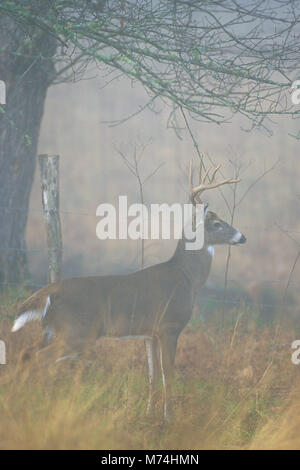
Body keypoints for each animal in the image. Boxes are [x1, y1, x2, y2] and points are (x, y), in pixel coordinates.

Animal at [12, 162, 246, 418]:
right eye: (217, 224)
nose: (242, 236)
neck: (186, 278)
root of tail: (48, 292)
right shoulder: (169, 326)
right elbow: (168, 374)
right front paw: (168, 417)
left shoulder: (149, 333)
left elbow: (152, 375)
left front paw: (149, 414)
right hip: (77, 331)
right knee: (39, 357)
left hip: (51, 330)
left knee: (26, 354)